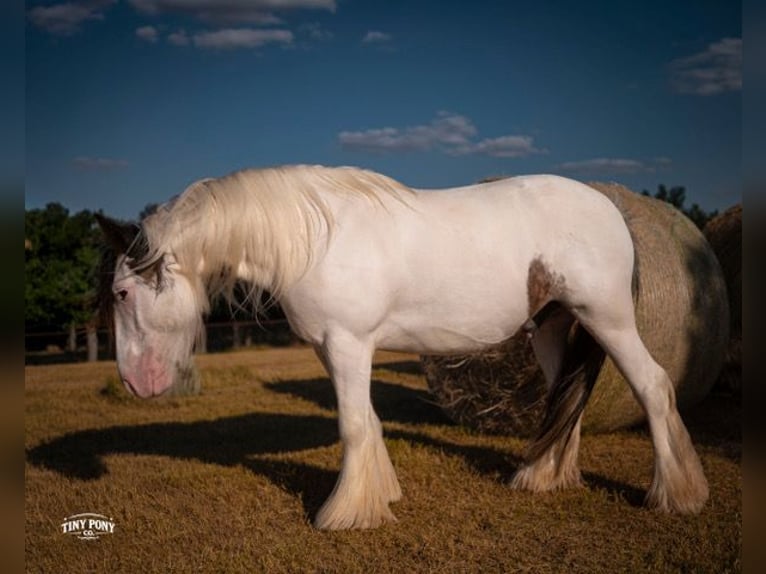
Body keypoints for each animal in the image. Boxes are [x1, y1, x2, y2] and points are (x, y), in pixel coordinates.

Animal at [96, 165, 709, 530]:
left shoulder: (349, 344)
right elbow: (365, 420)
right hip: (554, 328)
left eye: (122, 292)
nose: (132, 382)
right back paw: (542, 478)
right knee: (566, 399)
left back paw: (678, 495)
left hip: (608, 318)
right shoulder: (332, 348)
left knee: (654, 387)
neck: (315, 237)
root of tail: (612, 209)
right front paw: (379, 495)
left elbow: (352, 425)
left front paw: (344, 515)